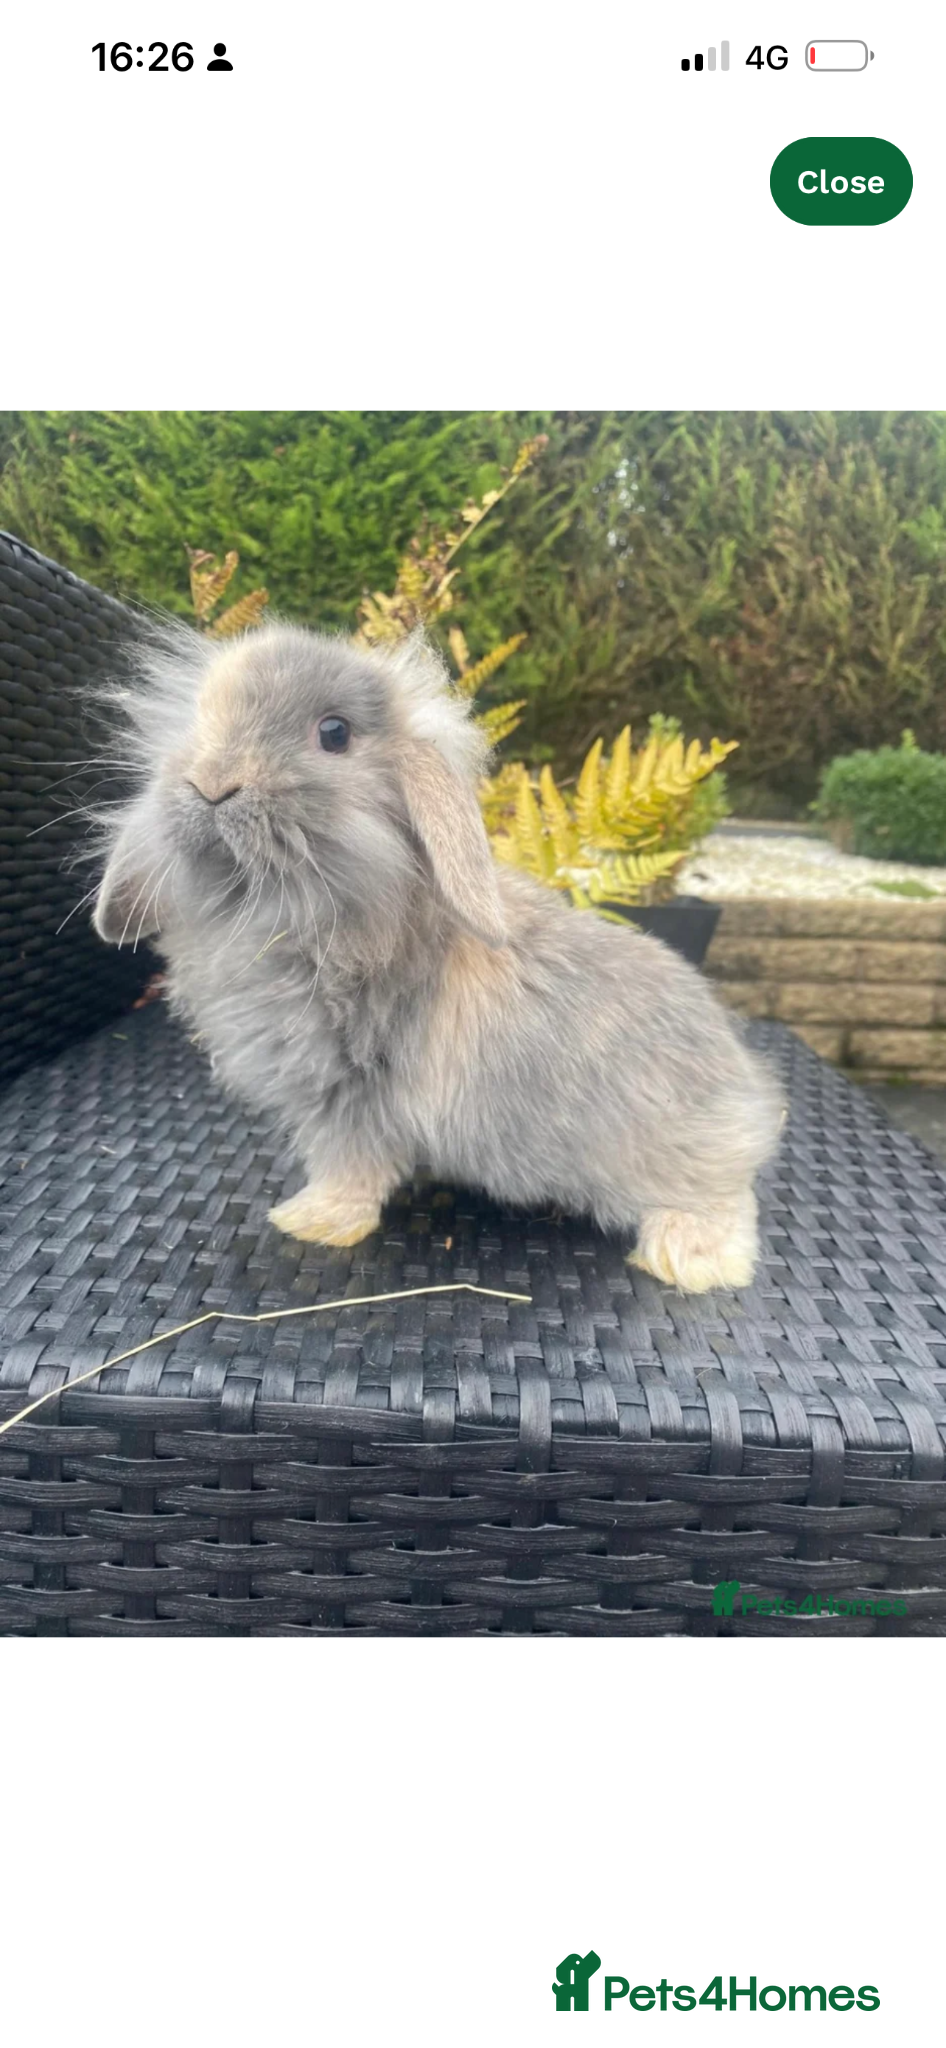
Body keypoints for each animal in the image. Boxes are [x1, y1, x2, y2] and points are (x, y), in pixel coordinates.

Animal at [90, 618, 785, 1292]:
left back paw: (691, 1260)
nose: (211, 784)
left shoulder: (351, 1100)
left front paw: (310, 1222)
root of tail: (743, 1084)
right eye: (201, 715)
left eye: (334, 734)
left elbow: (347, 1167)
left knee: (727, 1200)